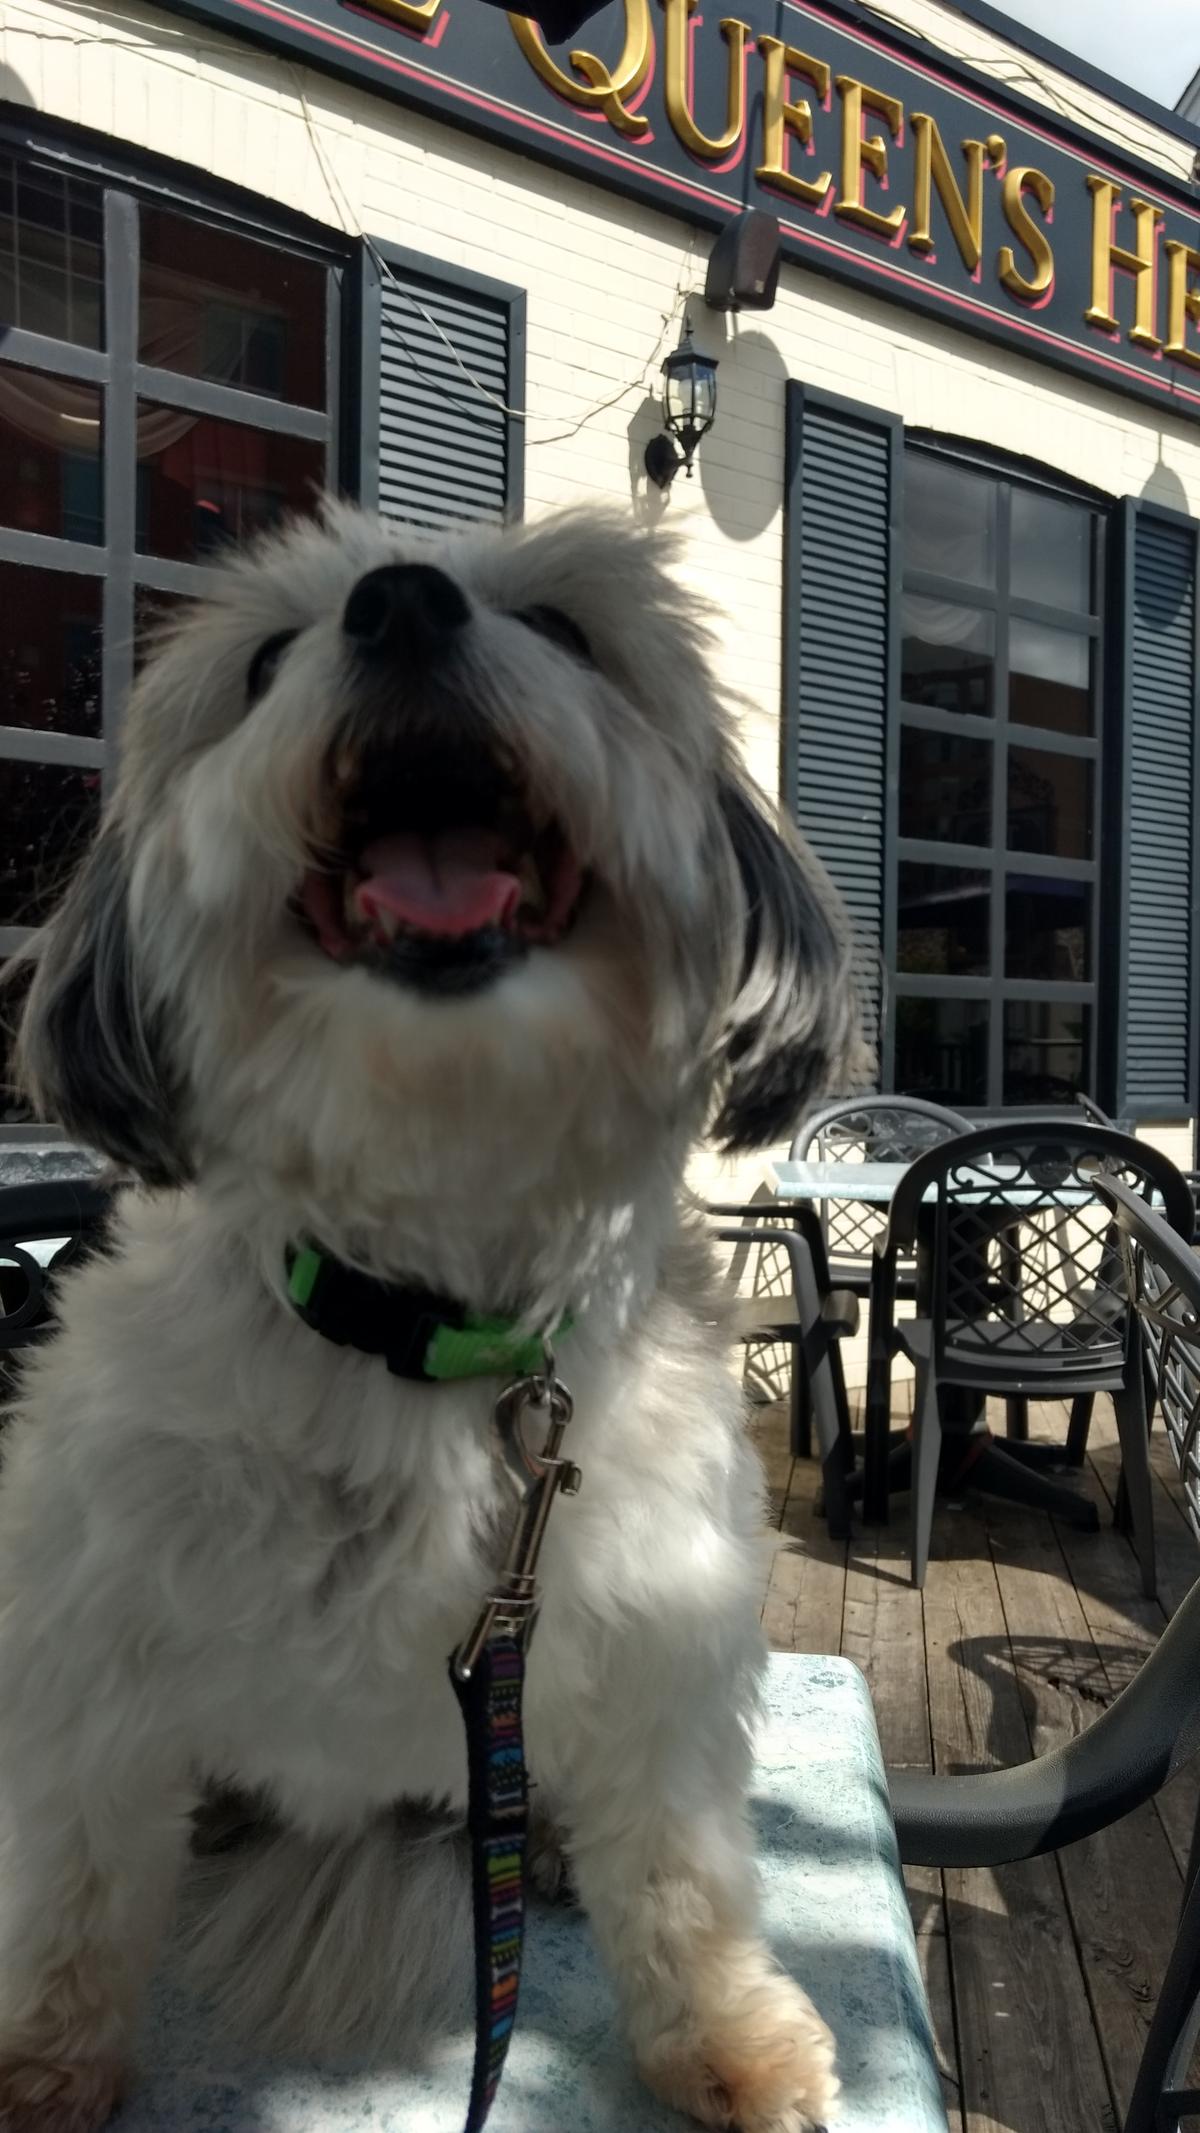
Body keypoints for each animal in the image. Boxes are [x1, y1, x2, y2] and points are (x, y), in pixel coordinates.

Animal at [2, 511, 865, 2133]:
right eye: (266, 660)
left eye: (570, 630)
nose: (399, 604)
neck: (432, 1328)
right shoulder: (92, 1651)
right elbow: (74, 1884)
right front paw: (41, 2061)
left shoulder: (658, 1647)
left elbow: (685, 1877)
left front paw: (729, 2040)